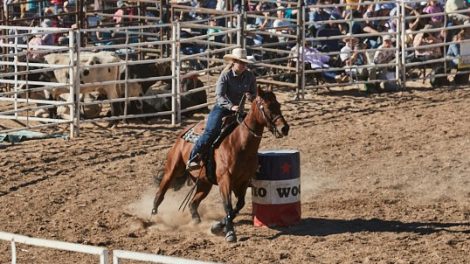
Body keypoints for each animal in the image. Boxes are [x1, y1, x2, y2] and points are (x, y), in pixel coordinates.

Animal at [152, 86, 288, 241]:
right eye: (268, 106)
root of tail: (183, 133)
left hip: (204, 183)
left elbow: (238, 206)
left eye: (278, 105)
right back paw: (153, 217)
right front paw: (230, 233)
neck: (239, 143)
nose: (285, 128)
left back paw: (196, 221)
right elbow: (228, 205)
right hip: (172, 169)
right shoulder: (225, 180)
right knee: (161, 192)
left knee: (193, 203)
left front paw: (217, 226)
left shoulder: (243, 181)